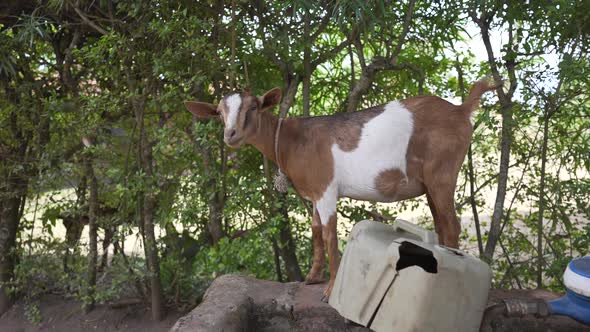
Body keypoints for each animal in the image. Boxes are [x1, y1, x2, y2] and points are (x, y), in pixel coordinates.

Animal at [185, 79, 500, 302]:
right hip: (430, 183)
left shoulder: (326, 189)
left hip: (442, 174)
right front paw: (312, 278)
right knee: (442, 224)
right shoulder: (314, 193)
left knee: (452, 225)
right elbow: (315, 232)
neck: (291, 140)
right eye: (219, 113)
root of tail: (460, 110)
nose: (231, 135)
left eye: (253, 107)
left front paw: (330, 290)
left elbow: (329, 235)